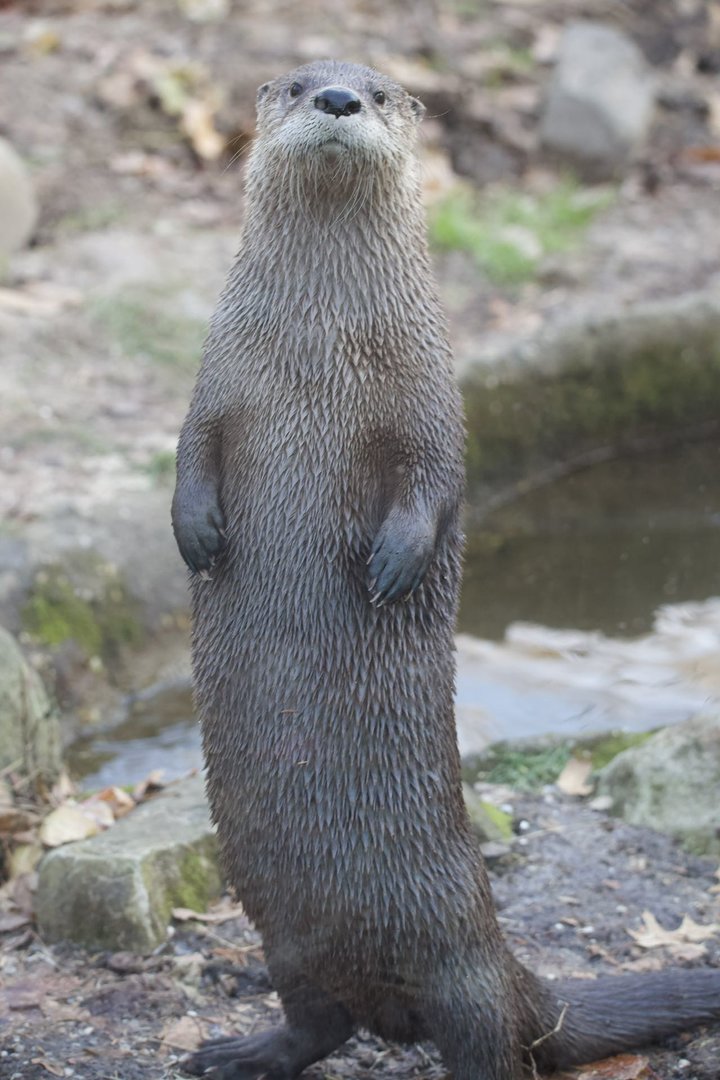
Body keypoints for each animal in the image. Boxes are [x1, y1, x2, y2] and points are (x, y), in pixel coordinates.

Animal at [172, 60, 720, 1080]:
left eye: (381, 91)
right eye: (299, 82)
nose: (338, 100)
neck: (316, 352)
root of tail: (514, 971)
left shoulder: (431, 393)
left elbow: (433, 475)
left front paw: (396, 562)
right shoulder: (215, 381)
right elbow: (189, 454)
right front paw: (196, 536)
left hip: (458, 971)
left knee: (483, 1039)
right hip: (284, 937)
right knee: (318, 1021)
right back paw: (237, 1051)